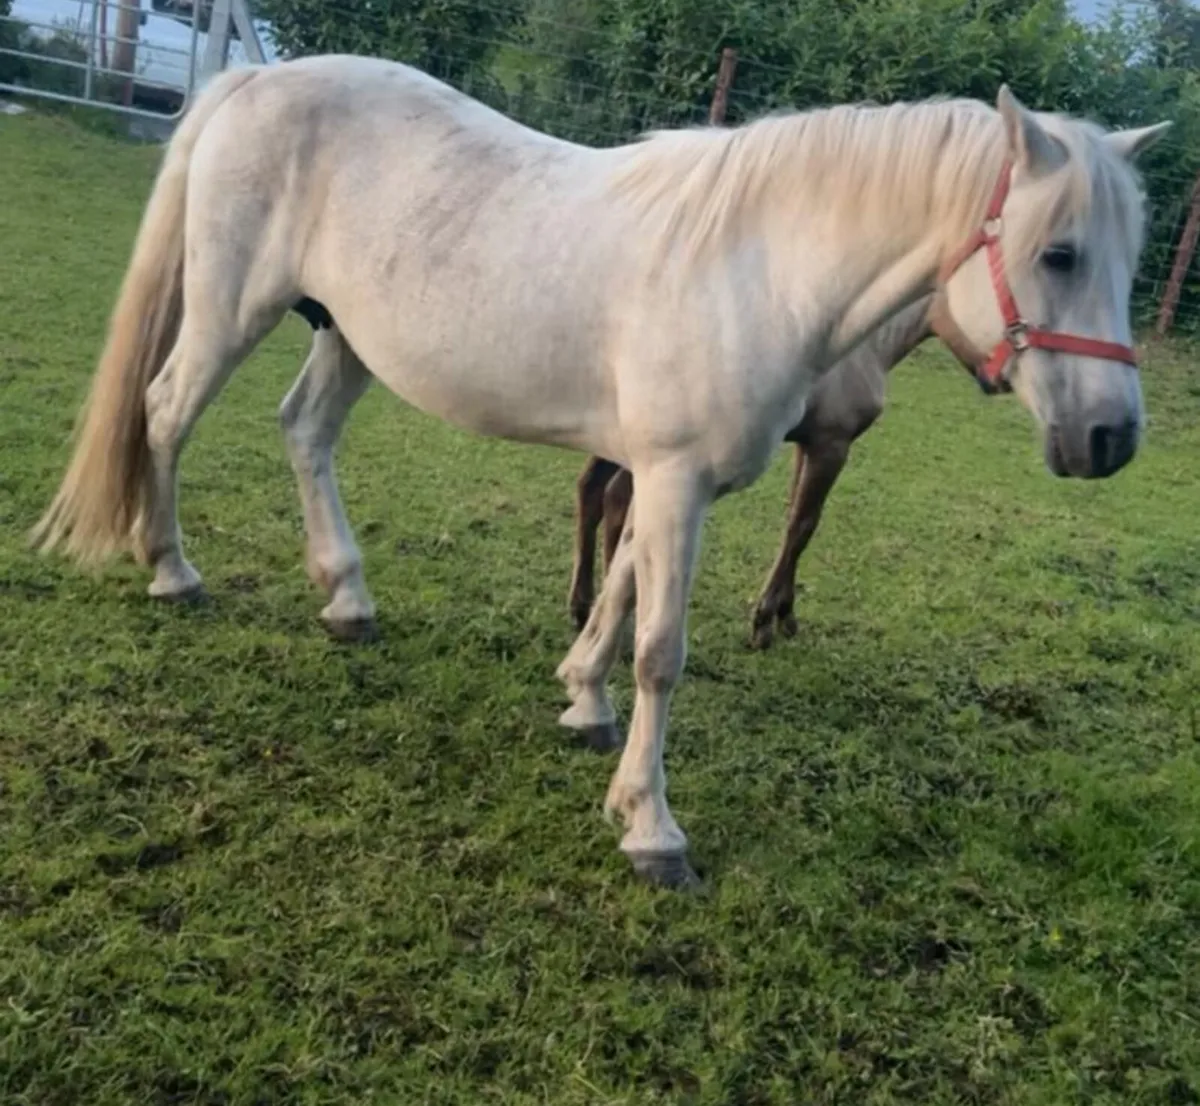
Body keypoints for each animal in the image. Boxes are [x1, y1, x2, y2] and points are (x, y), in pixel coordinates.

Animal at [566, 292, 985, 649]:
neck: (867, 343)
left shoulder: (808, 443)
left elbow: (794, 522)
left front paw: (786, 614)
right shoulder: (832, 446)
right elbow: (803, 526)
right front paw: (764, 621)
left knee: (591, 490)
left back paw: (582, 607)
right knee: (615, 498)